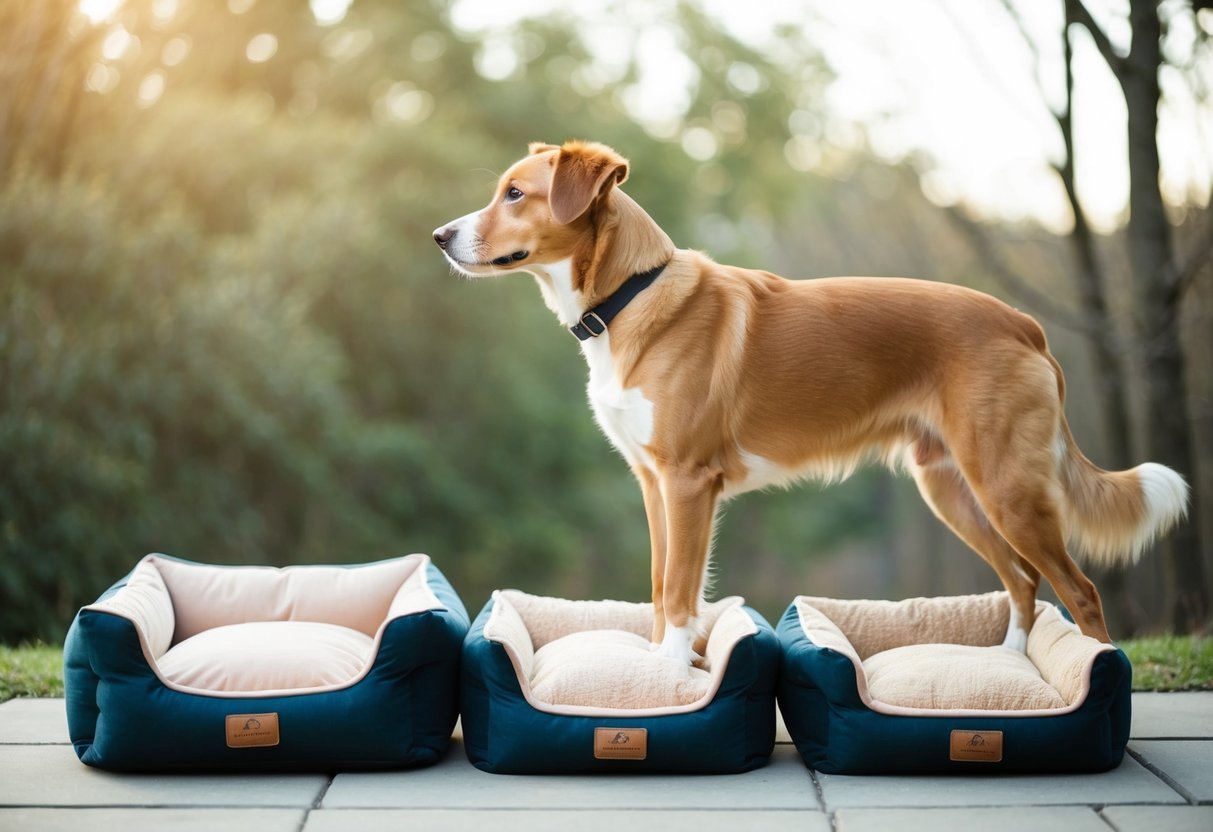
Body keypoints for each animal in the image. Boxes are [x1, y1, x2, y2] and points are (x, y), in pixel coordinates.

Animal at [434, 141, 1183, 664]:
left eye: (515, 194)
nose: (440, 236)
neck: (628, 297)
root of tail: (1024, 324)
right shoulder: (652, 484)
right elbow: (656, 586)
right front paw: (658, 665)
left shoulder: (687, 483)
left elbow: (679, 590)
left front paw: (670, 674)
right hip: (951, 488)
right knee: (1023, 583)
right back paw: (1008, 671)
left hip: (1006, 487)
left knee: (1078, 590)